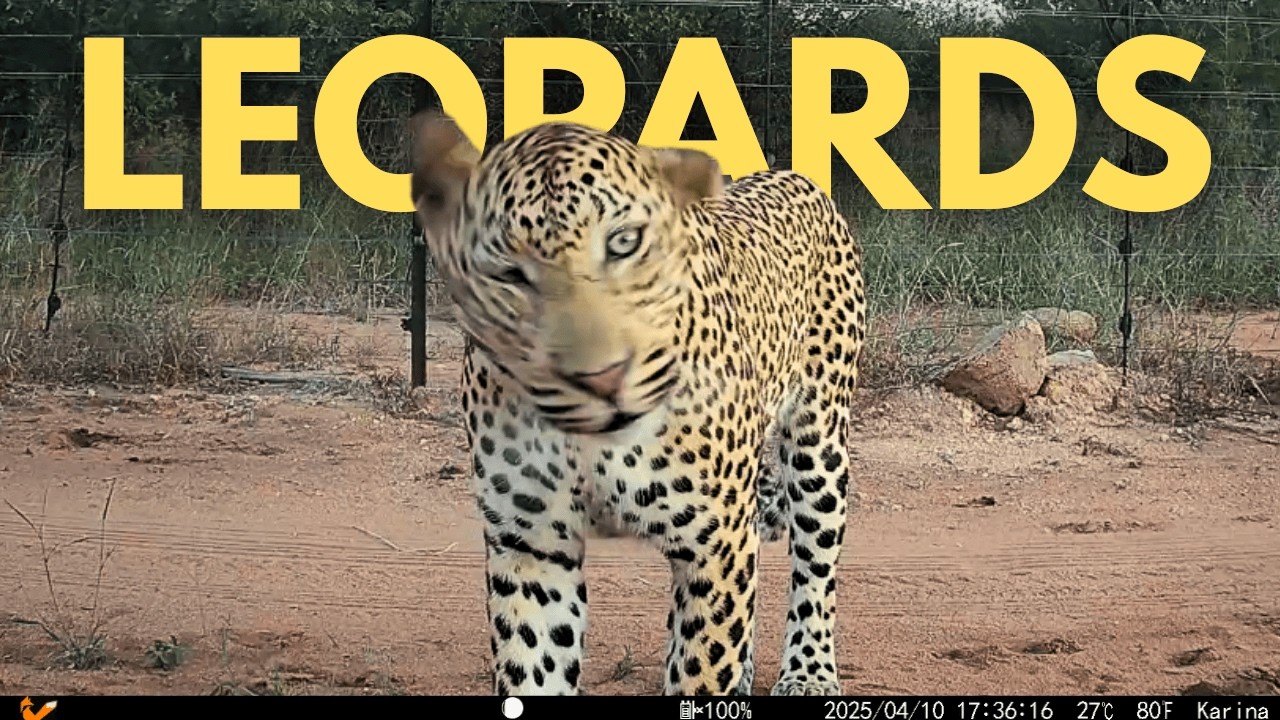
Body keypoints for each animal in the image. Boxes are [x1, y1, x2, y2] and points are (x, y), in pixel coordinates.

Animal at [408, 111, 867, 697]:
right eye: (508, 273)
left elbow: (702, 671)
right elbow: (534, 666)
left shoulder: (716, 542)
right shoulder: (531, 545)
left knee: (814, 565)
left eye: (625, 243)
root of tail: (792, 174)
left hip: (819, 440)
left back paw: (809, 673)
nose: (601, 378)